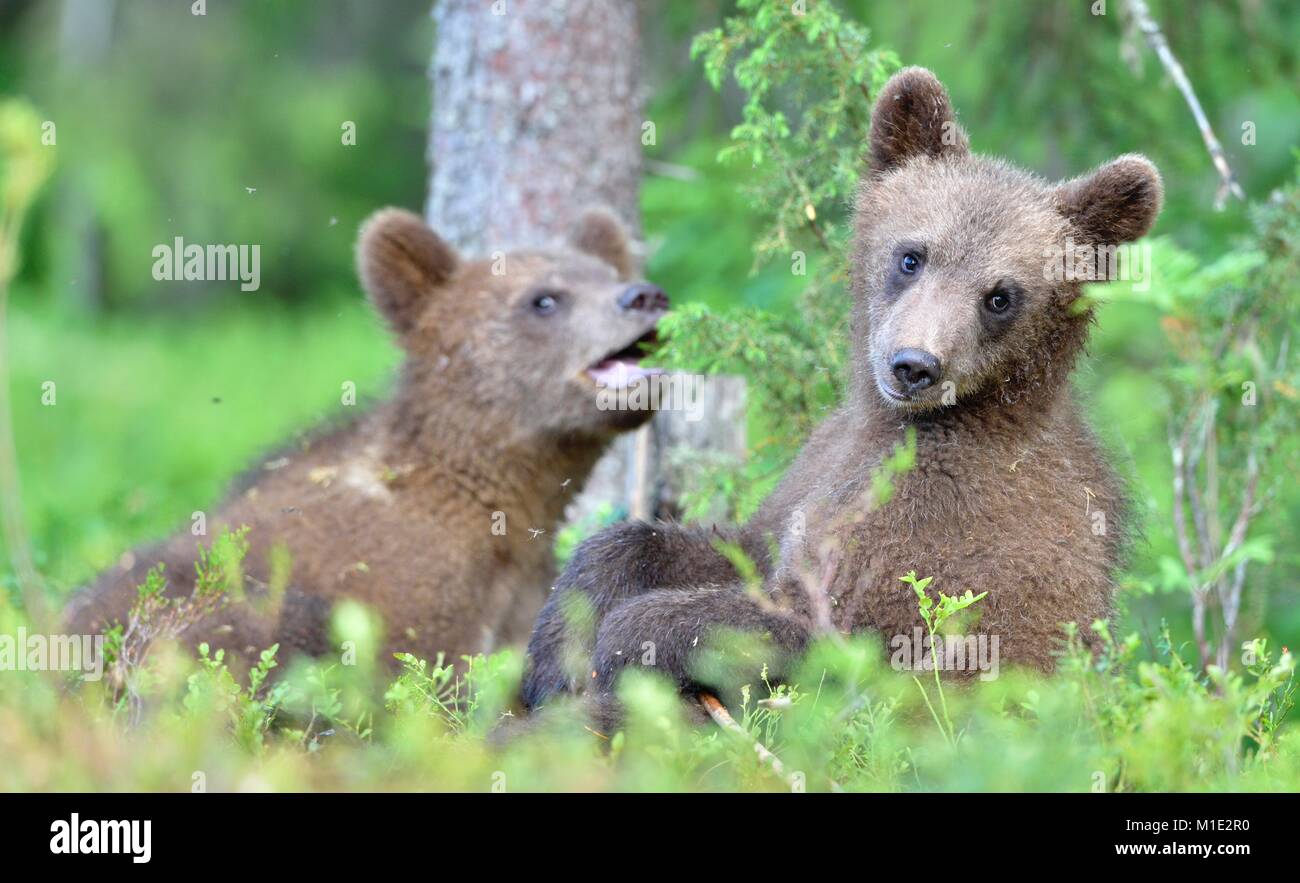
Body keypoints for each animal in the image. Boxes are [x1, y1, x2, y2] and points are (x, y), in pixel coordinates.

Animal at [522, 67, 1162, 714]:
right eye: (912, 256)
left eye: (1000, 296)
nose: (914, 365)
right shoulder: (821, 464)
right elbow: (731, 545)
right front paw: (555, 645)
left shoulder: (936, 520)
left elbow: (817, 626)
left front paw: (618, 645)